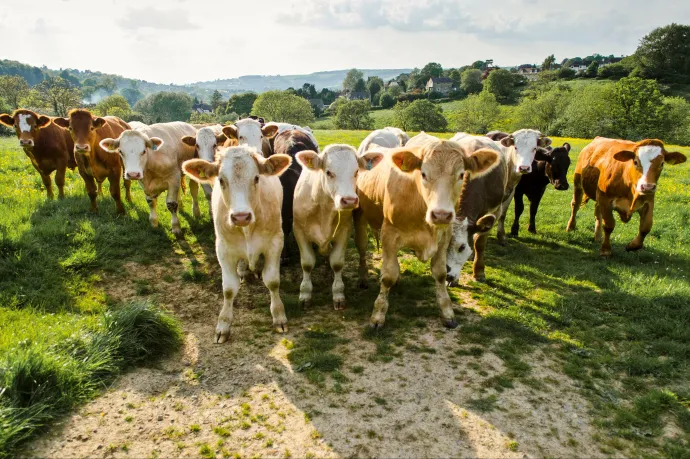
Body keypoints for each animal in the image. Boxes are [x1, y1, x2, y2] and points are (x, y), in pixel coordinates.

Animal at [180, 146, 290, 344]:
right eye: (221, 180)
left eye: (256, 178)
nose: (241, 216)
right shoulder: (223, 249)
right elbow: (229, 289)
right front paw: (223, 325)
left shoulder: (275, 243)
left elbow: (272, 281)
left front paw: (279, 316)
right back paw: (243, 271)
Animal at [292, 144, 384, 310]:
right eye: (328, 172)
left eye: (356, 171)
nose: (349, 200)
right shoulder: (299, 230)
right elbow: (307, 263)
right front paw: (305, 294)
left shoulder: (344, 232)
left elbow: (337, 263)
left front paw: (338, 294)